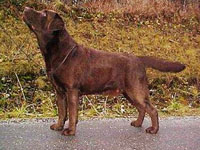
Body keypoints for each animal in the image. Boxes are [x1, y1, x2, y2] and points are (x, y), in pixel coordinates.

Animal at [22, 7, 185, 136]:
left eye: (44, 14)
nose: (26, 7)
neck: (59, 52)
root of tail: (138, 58)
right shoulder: (60, 92)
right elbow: (62, 112)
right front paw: (58, 126)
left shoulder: (72, 90)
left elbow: (72, 114)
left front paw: (70, 131)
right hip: (129, 93)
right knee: (142, 109)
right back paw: (138, 123)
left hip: (135, 90)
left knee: (152, 110)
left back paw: (153, 130)